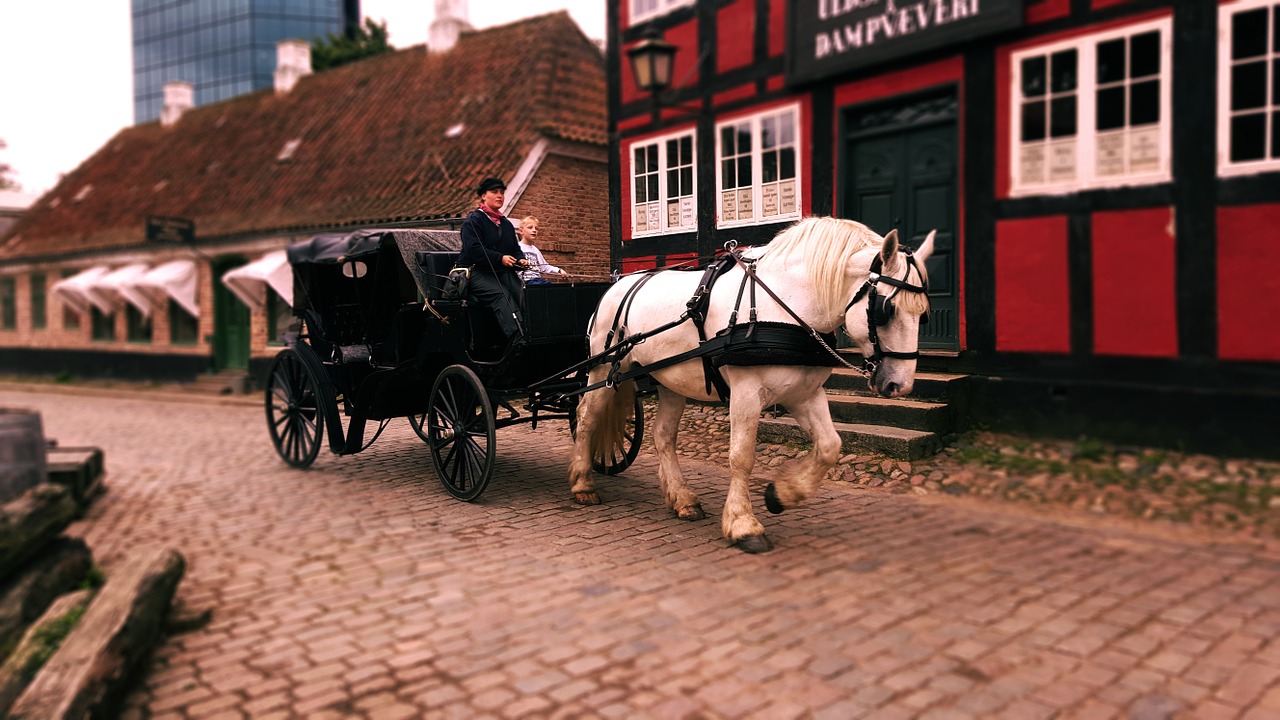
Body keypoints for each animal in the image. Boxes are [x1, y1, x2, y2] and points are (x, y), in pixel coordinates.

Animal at [568, 215, 931, 550]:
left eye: (924, 314)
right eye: (886, 310)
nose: (899, 386)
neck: (786, 304)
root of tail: (618, 284)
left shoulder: (804, 393)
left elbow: (830, 447)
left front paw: (781, 494)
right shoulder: (746, 393)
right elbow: (741, 457)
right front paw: (743, 524)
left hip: (670, 380)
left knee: (663, 436)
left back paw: (683, 498)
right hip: (603, 371)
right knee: (587, 418)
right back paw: (583, 483)